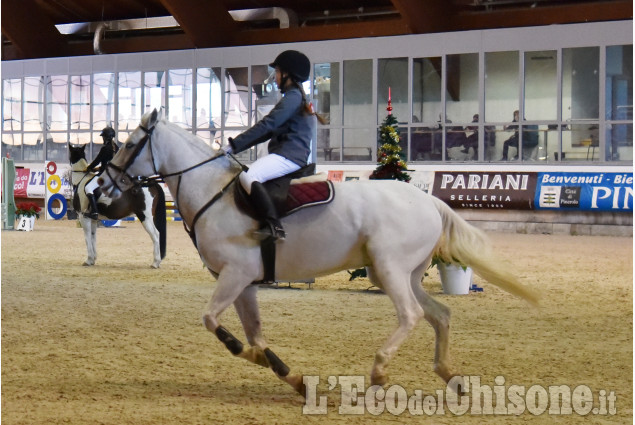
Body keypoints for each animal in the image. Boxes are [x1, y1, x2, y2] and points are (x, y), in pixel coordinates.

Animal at [97, 108, 540, 394]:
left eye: (131, 144)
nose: (103, 186)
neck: (213, 193)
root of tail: (428, 200)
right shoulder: (245, 283)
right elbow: (257, 335)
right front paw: (290, 377)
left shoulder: (235, 275)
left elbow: (213, 321)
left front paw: (246, 353)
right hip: (402, 273)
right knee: (440, 315)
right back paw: (451, 377)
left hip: (390, 269)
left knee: (412, 316)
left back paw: (379, 372)